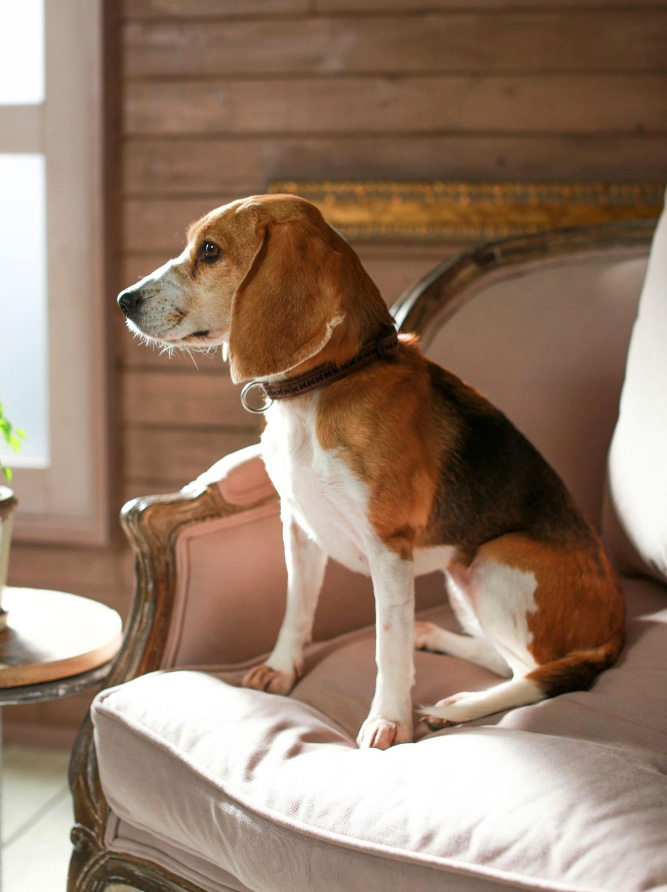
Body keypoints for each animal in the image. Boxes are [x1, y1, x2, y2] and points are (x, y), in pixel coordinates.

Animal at [118, 193, 628, 744]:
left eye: (210, 251)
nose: (124, 300)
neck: (324, 384)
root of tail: (617, 629)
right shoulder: (297, 526)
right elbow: (296, 609)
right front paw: (281, 667)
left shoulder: (389, 547)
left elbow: (387, 642)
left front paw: (388, 720)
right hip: (461, 575)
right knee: (504, 660)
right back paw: (435, 640)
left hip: (494, 559)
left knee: (534, 674)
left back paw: (459, 705)